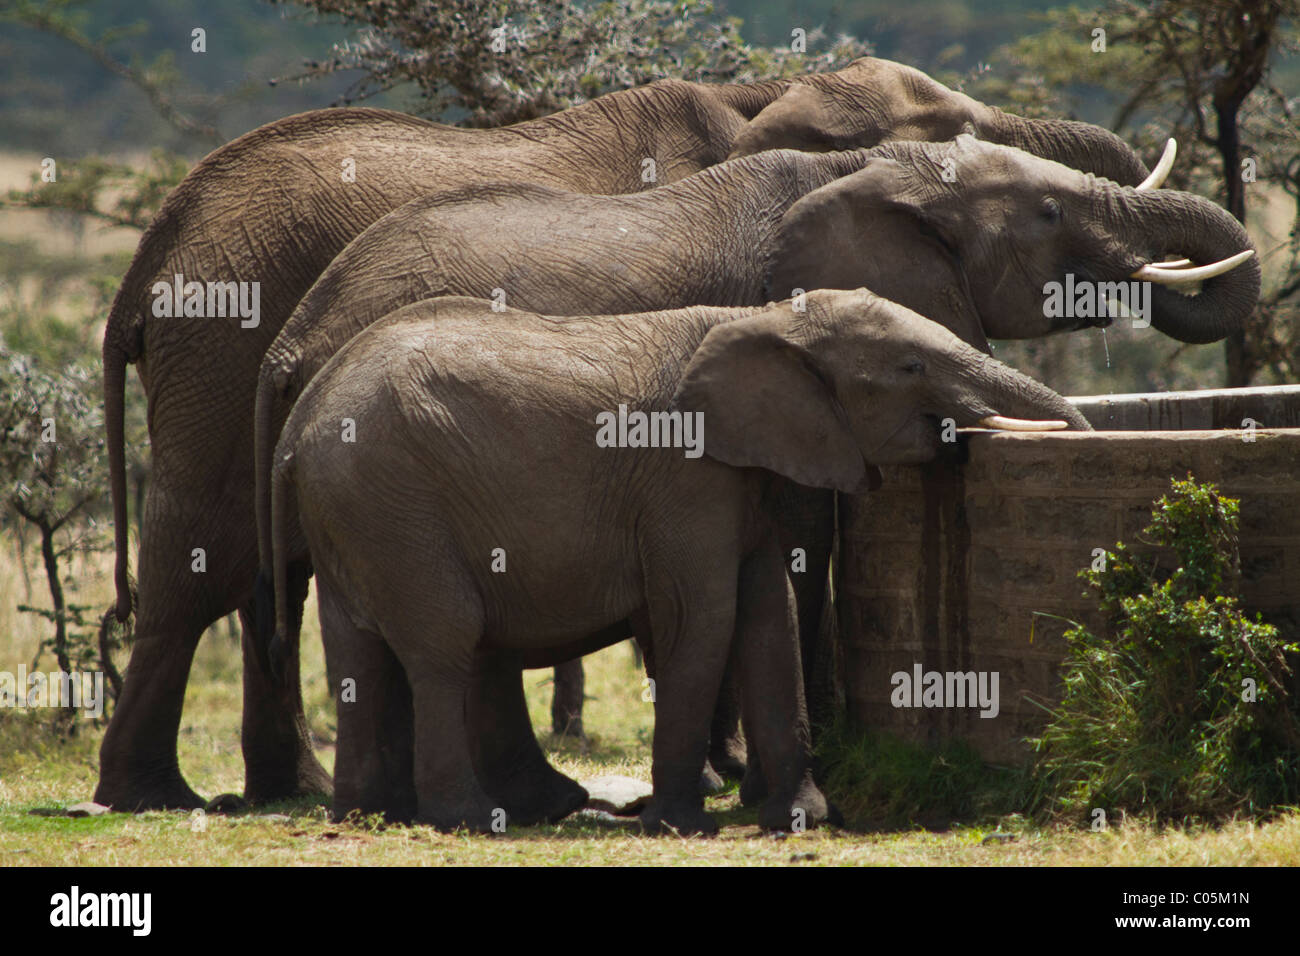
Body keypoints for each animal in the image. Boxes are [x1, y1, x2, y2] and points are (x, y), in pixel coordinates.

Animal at [267, 288, 1088, 834]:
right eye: (912, 365)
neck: (765, 318)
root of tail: (300, 421)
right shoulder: (685, 477)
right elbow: (706, 614)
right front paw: (677, 824)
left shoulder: (743, 475)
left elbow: (768, 613)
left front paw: (801, 817)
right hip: (396, 501)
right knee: (447, 641)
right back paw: (471, 818)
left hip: (360, 511)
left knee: (357, 648)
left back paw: (368, 812)